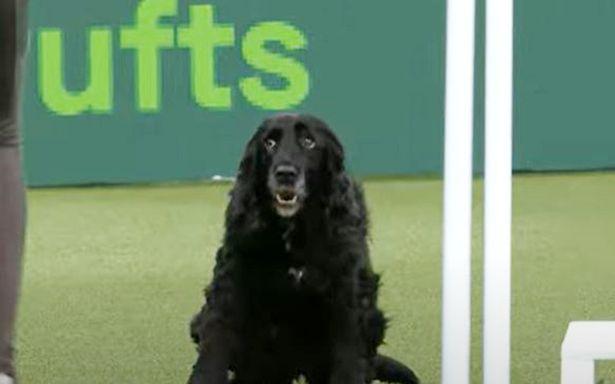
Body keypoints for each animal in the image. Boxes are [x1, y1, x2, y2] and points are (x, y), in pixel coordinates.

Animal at [188, 114, 418, 384]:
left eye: (309, 142)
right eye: (269, 143)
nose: (285, 174)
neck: (293, 230)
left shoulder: (350, 295)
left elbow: (350, 356)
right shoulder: (230, 284)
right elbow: (215, 343)